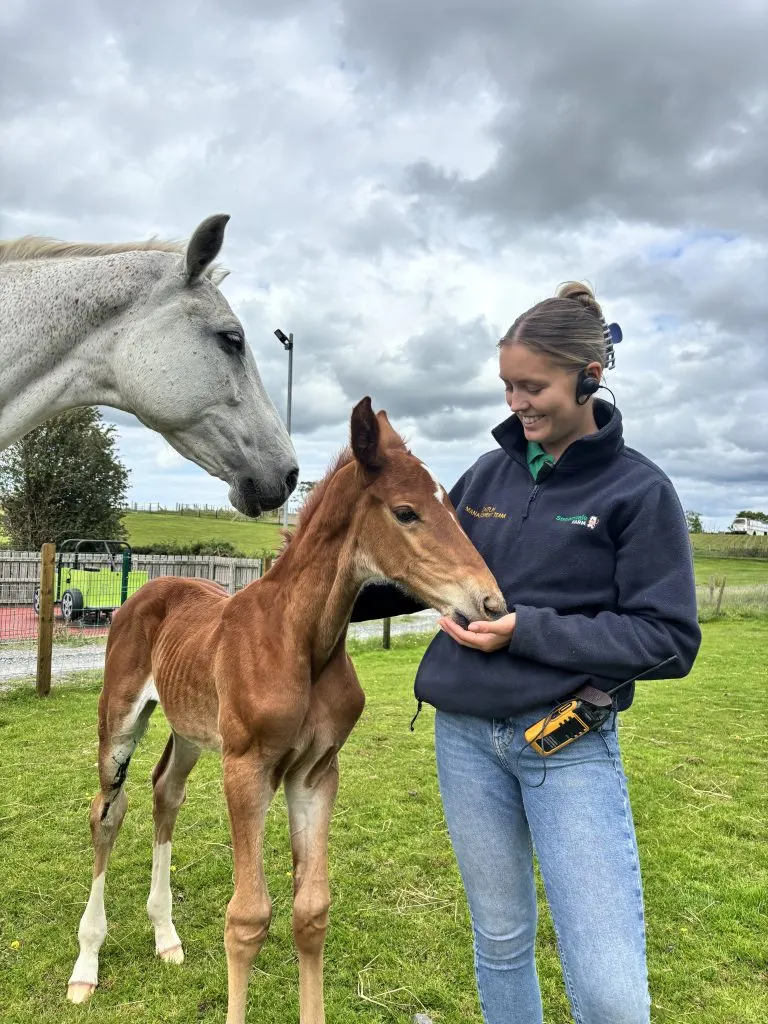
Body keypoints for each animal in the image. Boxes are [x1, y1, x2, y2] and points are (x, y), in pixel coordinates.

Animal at [67, 397, 506, 1023]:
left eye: (450, 502)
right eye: (406, 512)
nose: (491, 603)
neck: (302, 641)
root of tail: (146, 591)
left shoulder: (315, 772)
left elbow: (311, 910)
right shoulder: (247, 768)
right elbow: (247, 918)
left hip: (192, 732)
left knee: (165, 792)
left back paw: (166, 936)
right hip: (120, 721)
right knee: (107, 811)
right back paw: (86, 966)